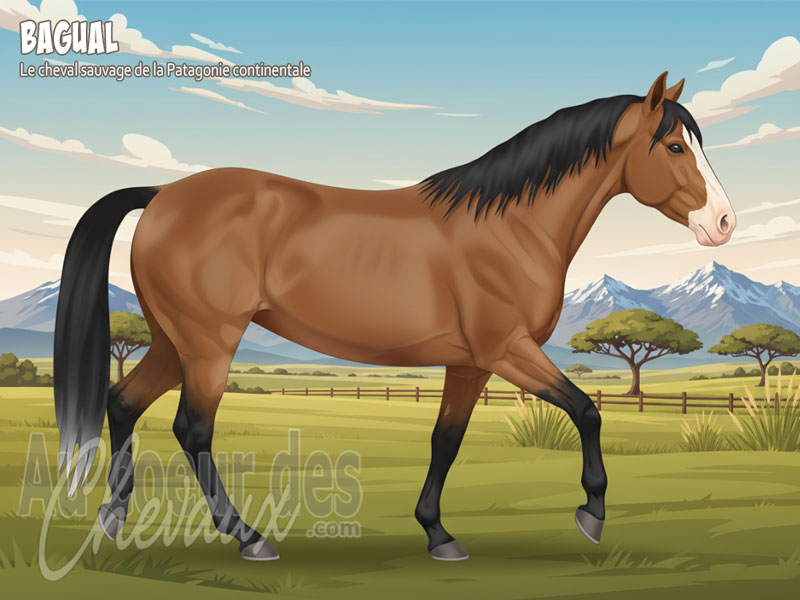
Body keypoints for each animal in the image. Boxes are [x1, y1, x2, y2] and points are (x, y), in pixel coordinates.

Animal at [54, 72, 735, 562]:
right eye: (674, 145)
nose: (724, 224)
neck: (510, 228)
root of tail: (164, 194)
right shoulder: (506, 349)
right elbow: (587, 411)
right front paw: (591, 514)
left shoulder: (470, 363)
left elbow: (446, 440)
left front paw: (438, 535)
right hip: (209, 343)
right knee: (192, 430)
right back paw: (247, 538)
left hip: (174, 341)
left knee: (122, 402)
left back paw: (113, 521)